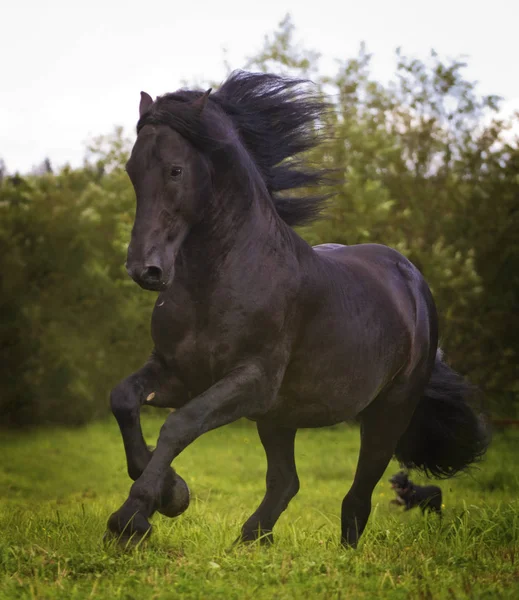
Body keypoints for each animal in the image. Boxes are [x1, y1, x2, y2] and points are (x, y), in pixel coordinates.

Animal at [105, 70, 488, 548]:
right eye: (132, 170)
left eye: (175, 170)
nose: (146, 269)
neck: (220, 280)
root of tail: (411, 279)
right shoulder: (179, 373)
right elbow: (123, 399)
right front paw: (172, 495)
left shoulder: (252, 380)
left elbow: (179, 424)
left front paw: (133, 517)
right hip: (279, 416)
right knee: (286, 482)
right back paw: (249, 543)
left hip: (388, 411)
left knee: (357, 495)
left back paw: (341, 555)